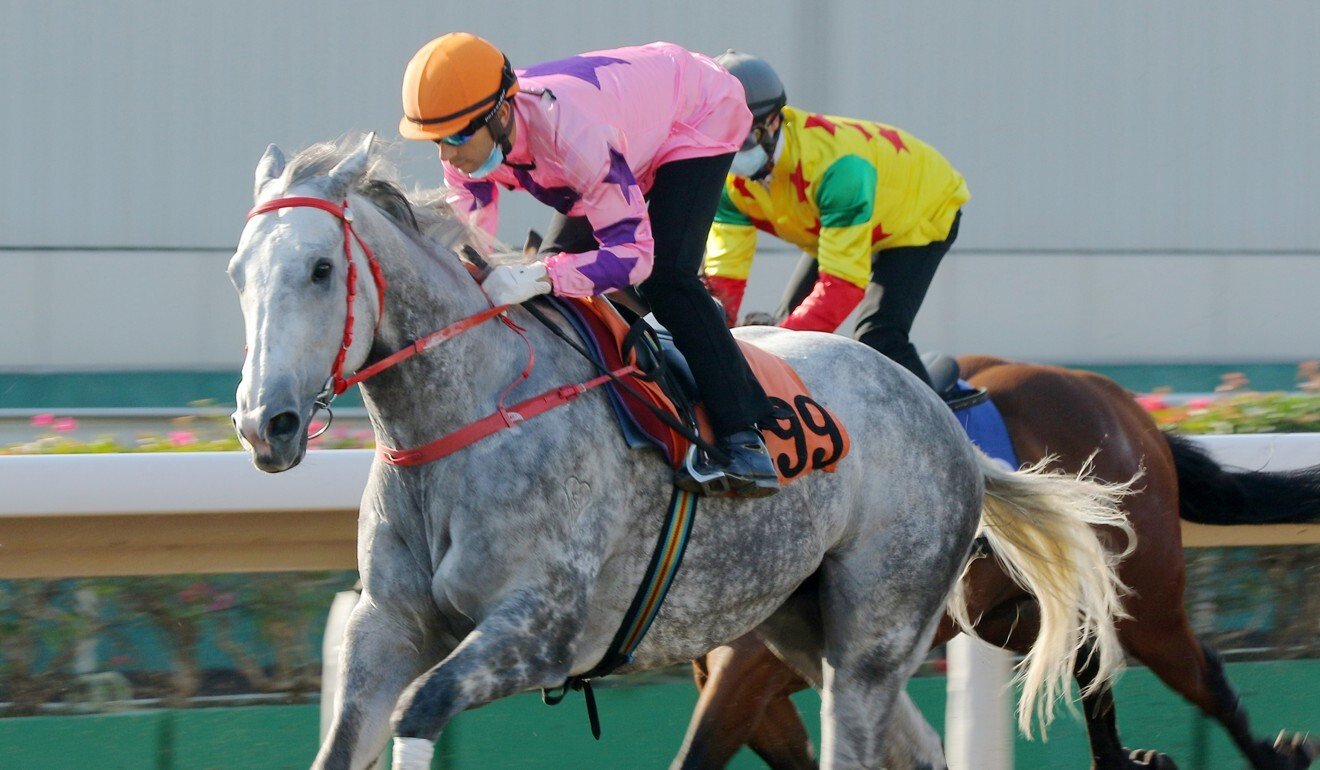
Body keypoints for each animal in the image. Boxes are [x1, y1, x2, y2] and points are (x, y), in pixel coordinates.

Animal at [229, 135, 1135, 766]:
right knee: (917, 749)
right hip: (799, 624)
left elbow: (419, 711)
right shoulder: (388, 626)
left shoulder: (538, 630)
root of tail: (943, 421)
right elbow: (343, 742)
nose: (264, 424)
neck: (473, 409)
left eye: (320, 268)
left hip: (879, 626)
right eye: (239, 272)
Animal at [675, 356, 1314, 770]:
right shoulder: (751, 684)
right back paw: (1130, 759)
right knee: (1088, 657)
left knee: (1202, 672)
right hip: (1012, 613)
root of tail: (1130, 410)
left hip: (1146, 597)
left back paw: (1278, 754)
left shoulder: (751, 668)